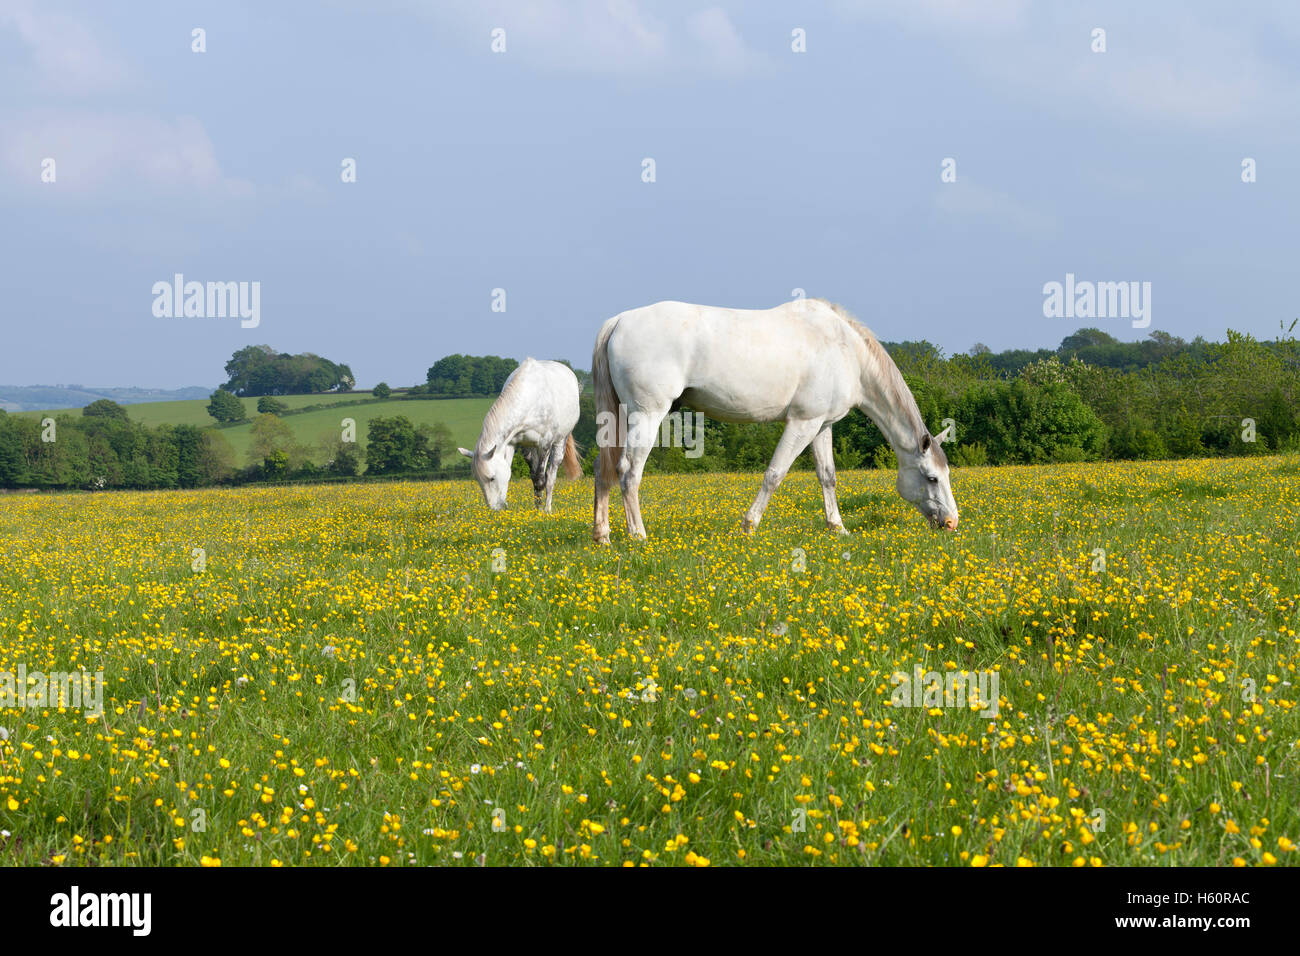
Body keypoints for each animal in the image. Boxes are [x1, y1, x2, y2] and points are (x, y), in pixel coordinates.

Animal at [458, 358, 582, 512]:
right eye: (478, 480)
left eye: (492, 478)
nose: (495, 509)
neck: (531, 397)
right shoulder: (513, 444)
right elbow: (528, 476)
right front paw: (535, 509)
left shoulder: (545, 445)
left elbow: (541, 480)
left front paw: (541, 512)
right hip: (531, 447)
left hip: (560, 441)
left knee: (551, 476)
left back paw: (547, 509)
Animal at [591, 298, 959, 542]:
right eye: (931, 478)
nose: (952, 522)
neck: (846, 351)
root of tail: (618, 321)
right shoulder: (802, 422)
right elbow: (774, 474)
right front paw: (749, 525)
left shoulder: (822, 425)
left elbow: (828, 476)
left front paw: (838, 527)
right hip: (647, 415)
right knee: (629, 472)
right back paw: (638, 535)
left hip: (619, 417)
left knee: (603, 469)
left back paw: (602, 535)